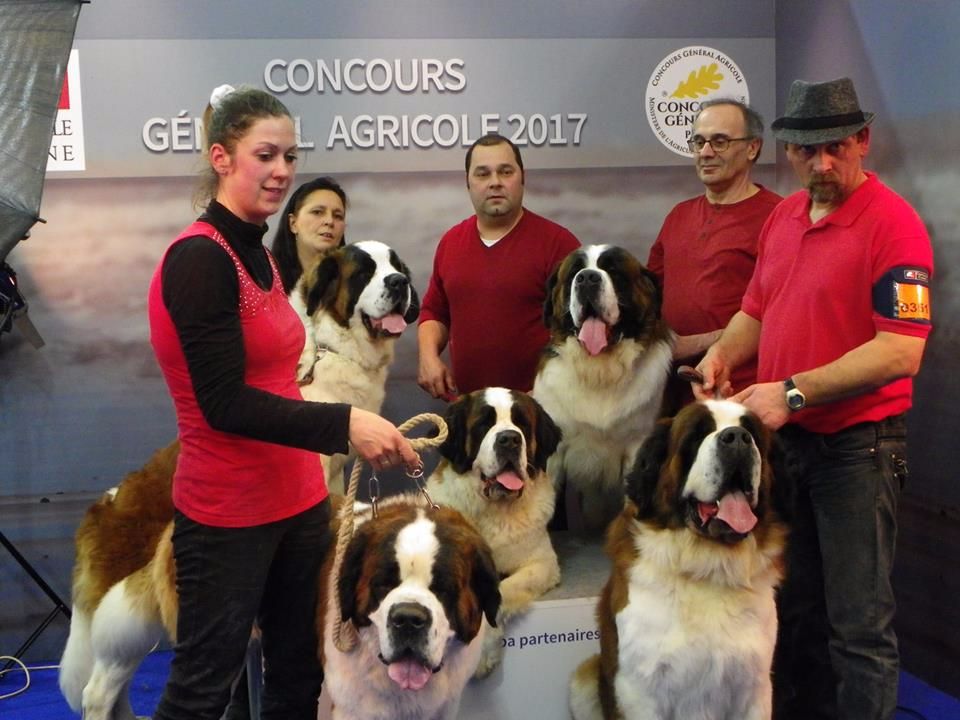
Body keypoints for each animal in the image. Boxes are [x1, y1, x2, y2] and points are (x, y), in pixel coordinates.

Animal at [426, 388, 564, 676]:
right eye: (484, 424)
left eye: (522, 424)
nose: (510, 439)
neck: (493, 510)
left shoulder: (542, 563)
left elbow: (503, 590)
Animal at [532, 245, 676, 532]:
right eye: (574, 273)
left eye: (614, 272)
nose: (588, 278)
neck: (599, 370)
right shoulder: (553, 454)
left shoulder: (637, 447)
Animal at [568, 400, 788, 720]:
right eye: (696, 436)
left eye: (753, 434)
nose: (737, 438)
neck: (708, 566)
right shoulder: (640, 693)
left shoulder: (755, 688)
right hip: (584, 677)